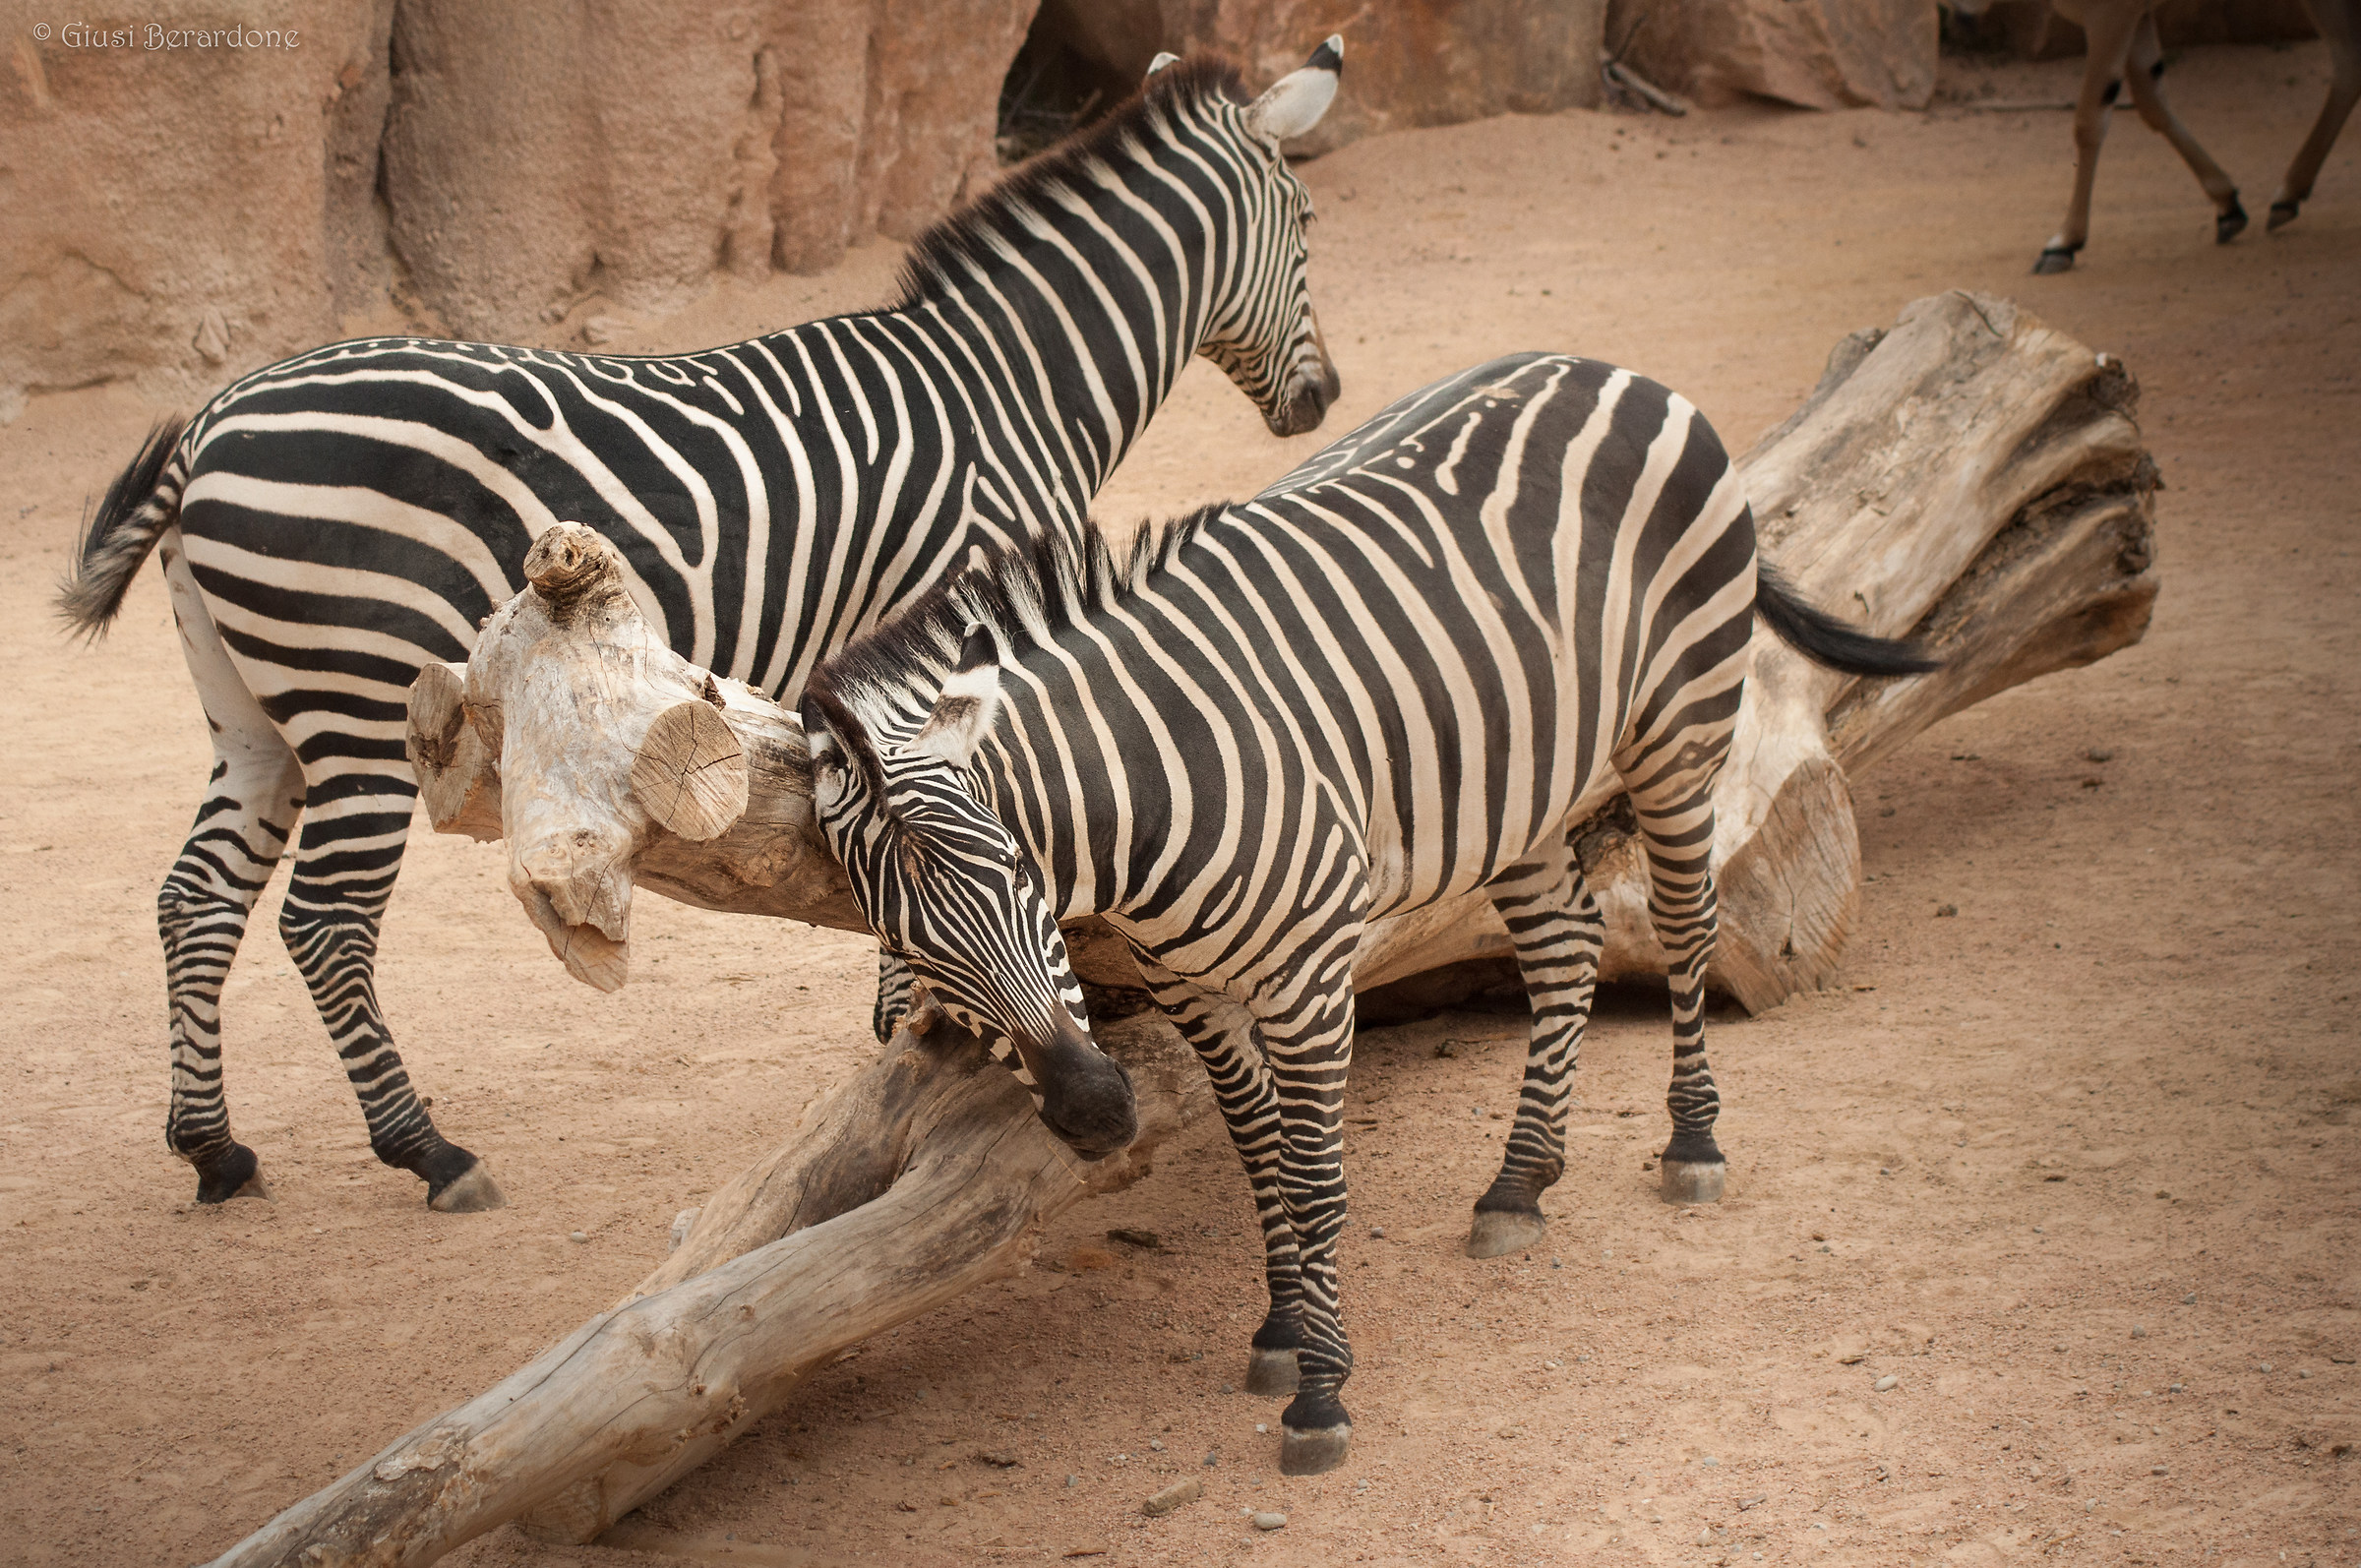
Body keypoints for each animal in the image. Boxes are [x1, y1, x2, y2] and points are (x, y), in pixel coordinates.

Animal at [54, 40, 1346, 1214]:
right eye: (1305, 219)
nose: (1323, 400)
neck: (1013, 385)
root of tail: (210, 419)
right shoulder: (949, 611)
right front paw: (923, 1015)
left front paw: (912, 1014)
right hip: (362, 699)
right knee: (322, 922)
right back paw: (427, 1150)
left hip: (252, 709)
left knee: (193, 898)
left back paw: (213, 1149)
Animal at [794, 352, 1936, 1475]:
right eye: (909, 947)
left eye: (1018, 872)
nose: (1098, 1114)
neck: (1149, 791)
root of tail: (1618, 369)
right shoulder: (1194, 994)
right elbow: (1260, 1156)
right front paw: (1281, 1327)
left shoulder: (1306, 985)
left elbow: (1314, 1178)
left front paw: (1320, 1393)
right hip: (1516, 784)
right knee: (1565, 948)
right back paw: (1519, 1182)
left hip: (1677, 725)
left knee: (1688, 921)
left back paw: (1693, 1144)